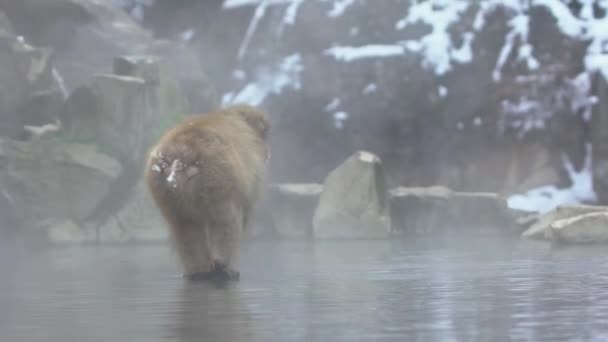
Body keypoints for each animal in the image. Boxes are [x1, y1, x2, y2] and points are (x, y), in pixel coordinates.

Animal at [144, 105, 270, 282]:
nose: (268, 152)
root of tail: (183, 151)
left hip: (160, 184)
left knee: (184, 225)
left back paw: (198, 270)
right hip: (217, 175)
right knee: (225, 220)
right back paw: (223, 266)